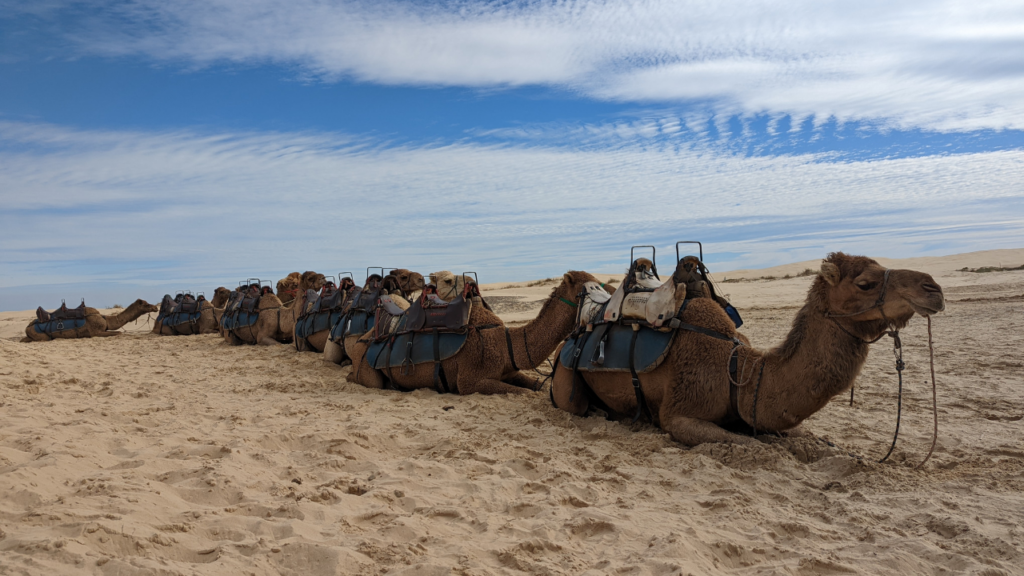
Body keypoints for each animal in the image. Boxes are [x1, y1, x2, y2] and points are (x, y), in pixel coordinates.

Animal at [21, 297, 157, 338]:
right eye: (146, 304)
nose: (155, 307)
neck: (106, 319)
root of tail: (27, 327)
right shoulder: (96, 332)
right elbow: (118, 333)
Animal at [346, 270, 598, 391]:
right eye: (591, 286)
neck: (506, 342)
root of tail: (361, 341)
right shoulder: (470, 382)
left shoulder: (507, 371)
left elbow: (535, 387)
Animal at [552, 251, 942, 444]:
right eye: (864, 283)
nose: (933, 288)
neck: (738, 370)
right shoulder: (678, 414)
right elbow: (745, 442)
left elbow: (802, 436)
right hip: (566, 382)